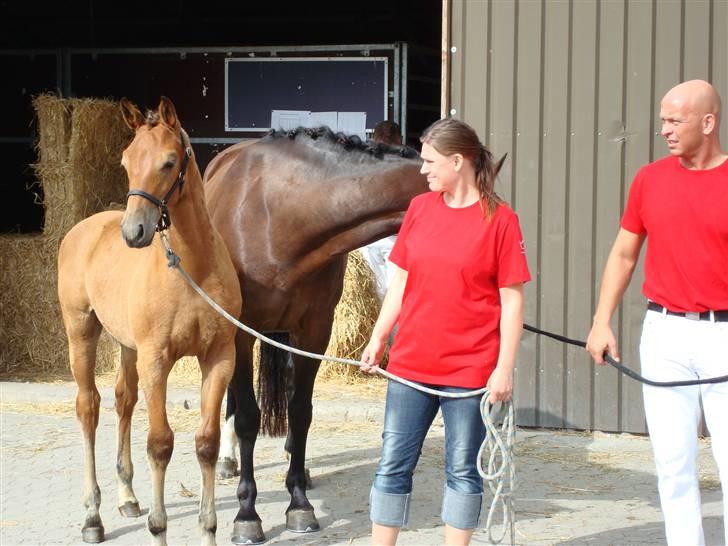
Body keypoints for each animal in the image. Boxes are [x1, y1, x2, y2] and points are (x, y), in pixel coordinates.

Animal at [57, 98, 242, 544]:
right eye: (125, 161)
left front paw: (208, 528)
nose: (134, 232)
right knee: (88, 407)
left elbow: (207, 443)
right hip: (81, 333)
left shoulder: (219, 358)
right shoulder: (157, 359)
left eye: (169, 162)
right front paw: (158, 528)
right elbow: (160, 444)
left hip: (127, 347)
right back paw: (93, 516)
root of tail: (83, 229)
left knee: (123, 400)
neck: (191, 269)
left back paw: (127, 496)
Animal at [202, 129, 430, 544]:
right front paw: (247, 514)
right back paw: (227, 459)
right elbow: (248, 417)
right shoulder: (240, 330)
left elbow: (301, 411)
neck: (278, 218)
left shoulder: (314, 330)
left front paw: (299, 503)